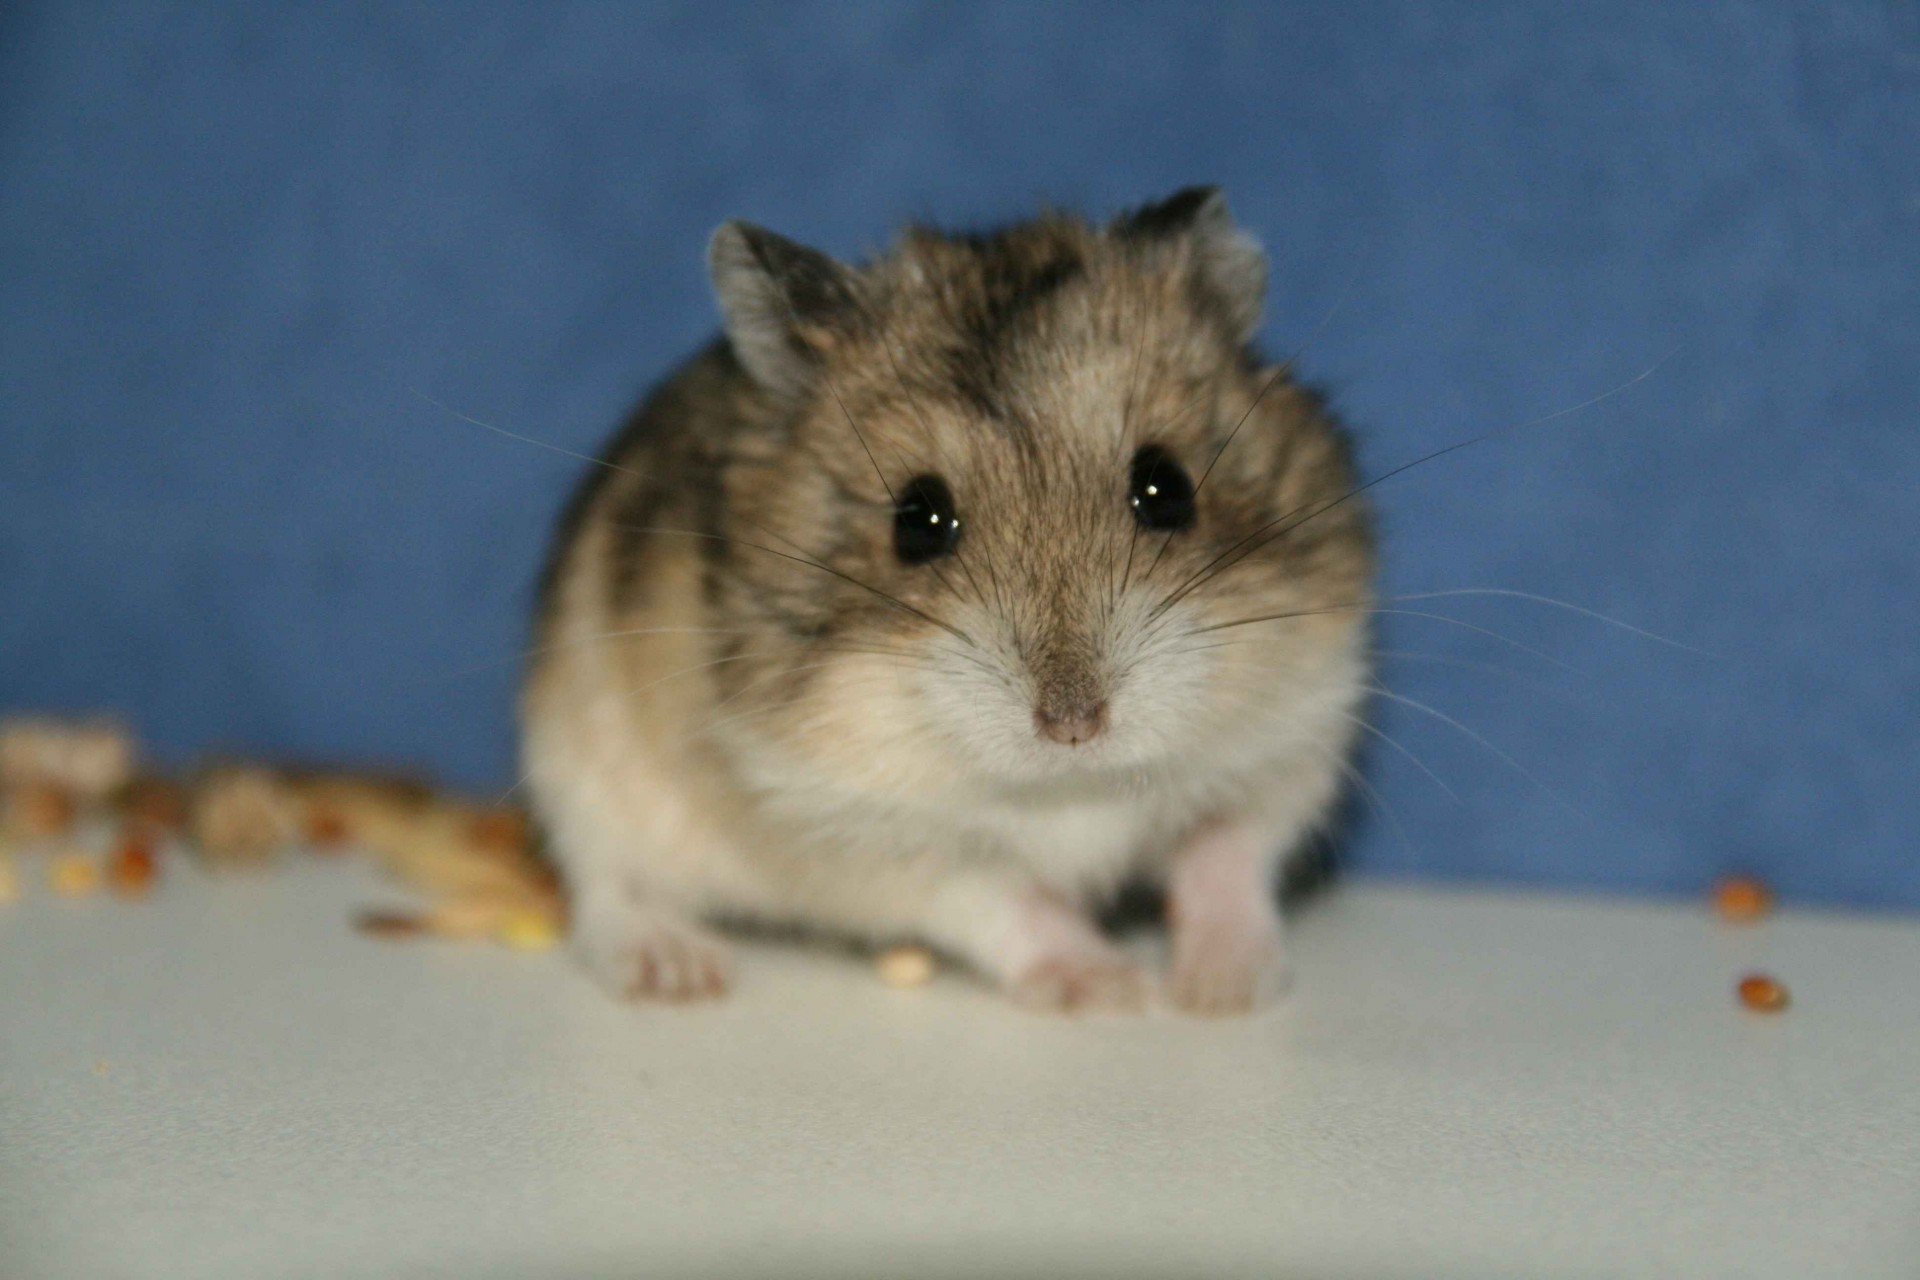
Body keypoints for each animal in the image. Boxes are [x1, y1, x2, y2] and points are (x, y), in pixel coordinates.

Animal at [522, 187, 1374, 1015]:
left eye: (1167, 487)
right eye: (916, 520)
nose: (1075, 725)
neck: (1073, 786)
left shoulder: (1291, 740)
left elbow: (1228, 857)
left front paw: (1223, 992)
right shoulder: (863, 832)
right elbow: (1006, 902)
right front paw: (1114, 988)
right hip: (580, 766)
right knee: (605, 890)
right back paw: (675, 971)